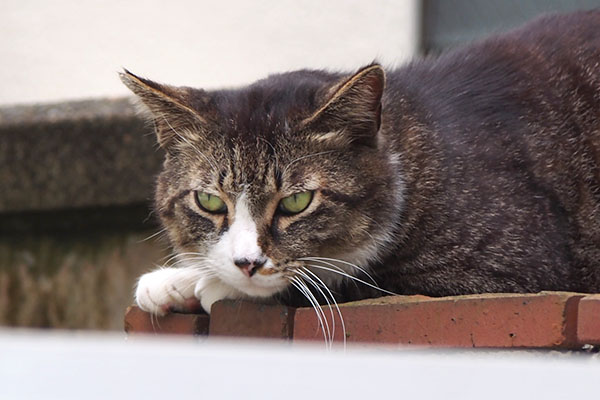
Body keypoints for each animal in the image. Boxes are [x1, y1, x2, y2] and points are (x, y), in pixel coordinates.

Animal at [119, 9, 600, 318]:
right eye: (209, 202)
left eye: (296, 203)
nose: (246, 264)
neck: (414, 164)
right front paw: (177, 281)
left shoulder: (510, 264)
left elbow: (351, 281)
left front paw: (208, 285)